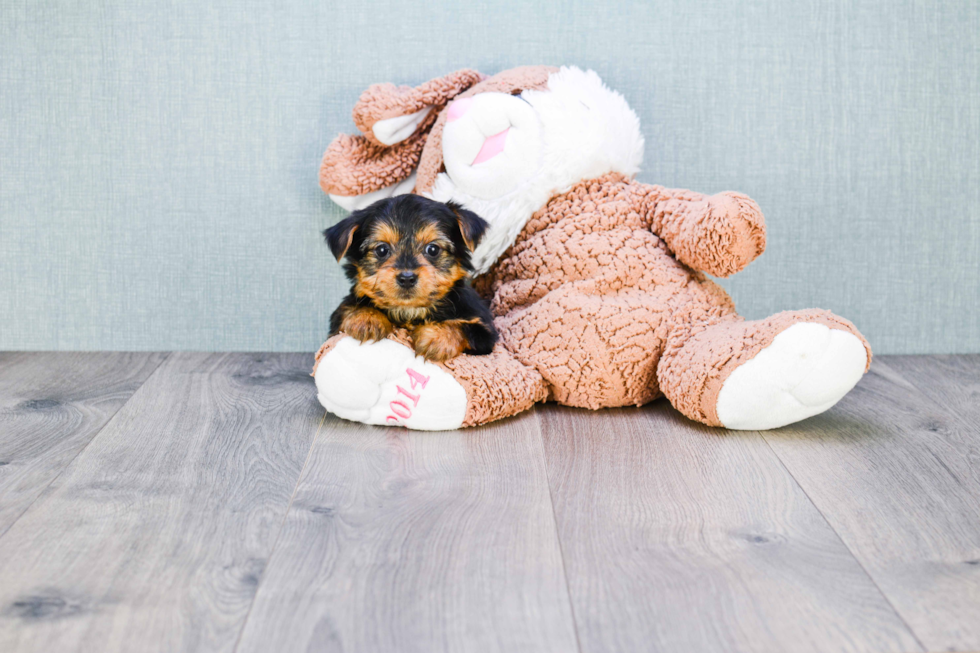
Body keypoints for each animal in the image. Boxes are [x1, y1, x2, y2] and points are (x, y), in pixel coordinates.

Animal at [326, 196, 498, 364]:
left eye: (433, 249)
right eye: (381, 250)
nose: (407, 278)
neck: (410, 310)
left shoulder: (485, 332)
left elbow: (465, 328)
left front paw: (437, 336)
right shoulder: (336, 322)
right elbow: (348, 308)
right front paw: (367, 318)